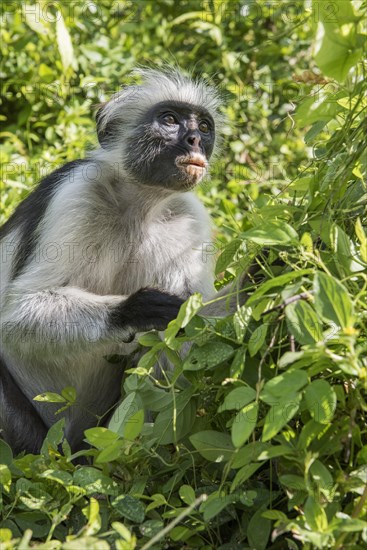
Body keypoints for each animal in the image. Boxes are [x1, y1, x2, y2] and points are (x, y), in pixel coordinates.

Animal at [0, 70, 236, 458]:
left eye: (204, 126)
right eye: (169, 119)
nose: (194, 141)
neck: (139, 204)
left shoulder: (190, 218)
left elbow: (197, 336)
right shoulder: (76, 192)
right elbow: (15, 317)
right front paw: (138, 309)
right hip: (34, 438)